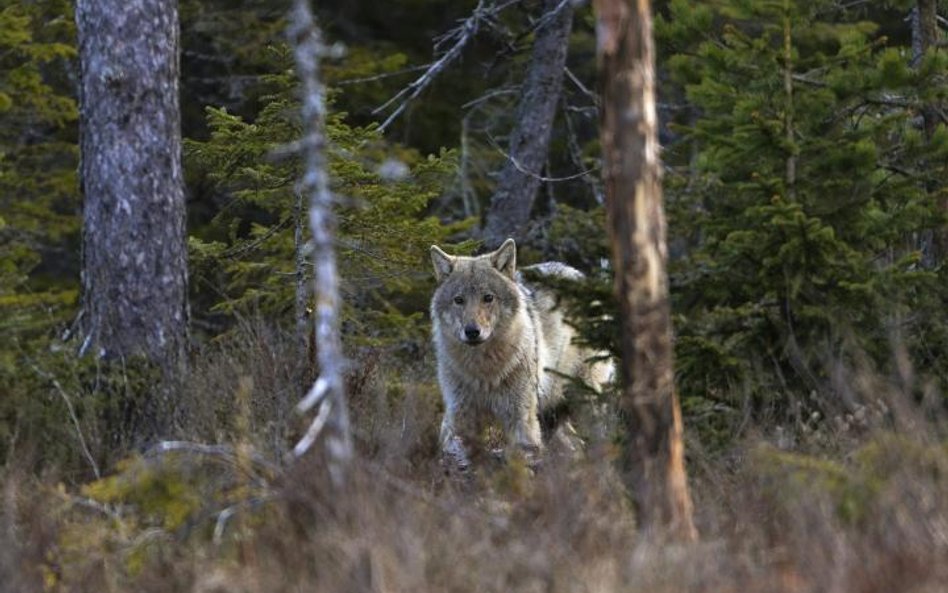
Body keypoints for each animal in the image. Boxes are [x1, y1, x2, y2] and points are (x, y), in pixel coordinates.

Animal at [432, 237, 616, 468]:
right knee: (575, 446)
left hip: (586, 402)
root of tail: (582, 277)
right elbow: (454, 448)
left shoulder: (520, 417)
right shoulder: (459, 414)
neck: (484, 371)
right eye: (459, 300)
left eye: (488, 297)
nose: (472, 331)